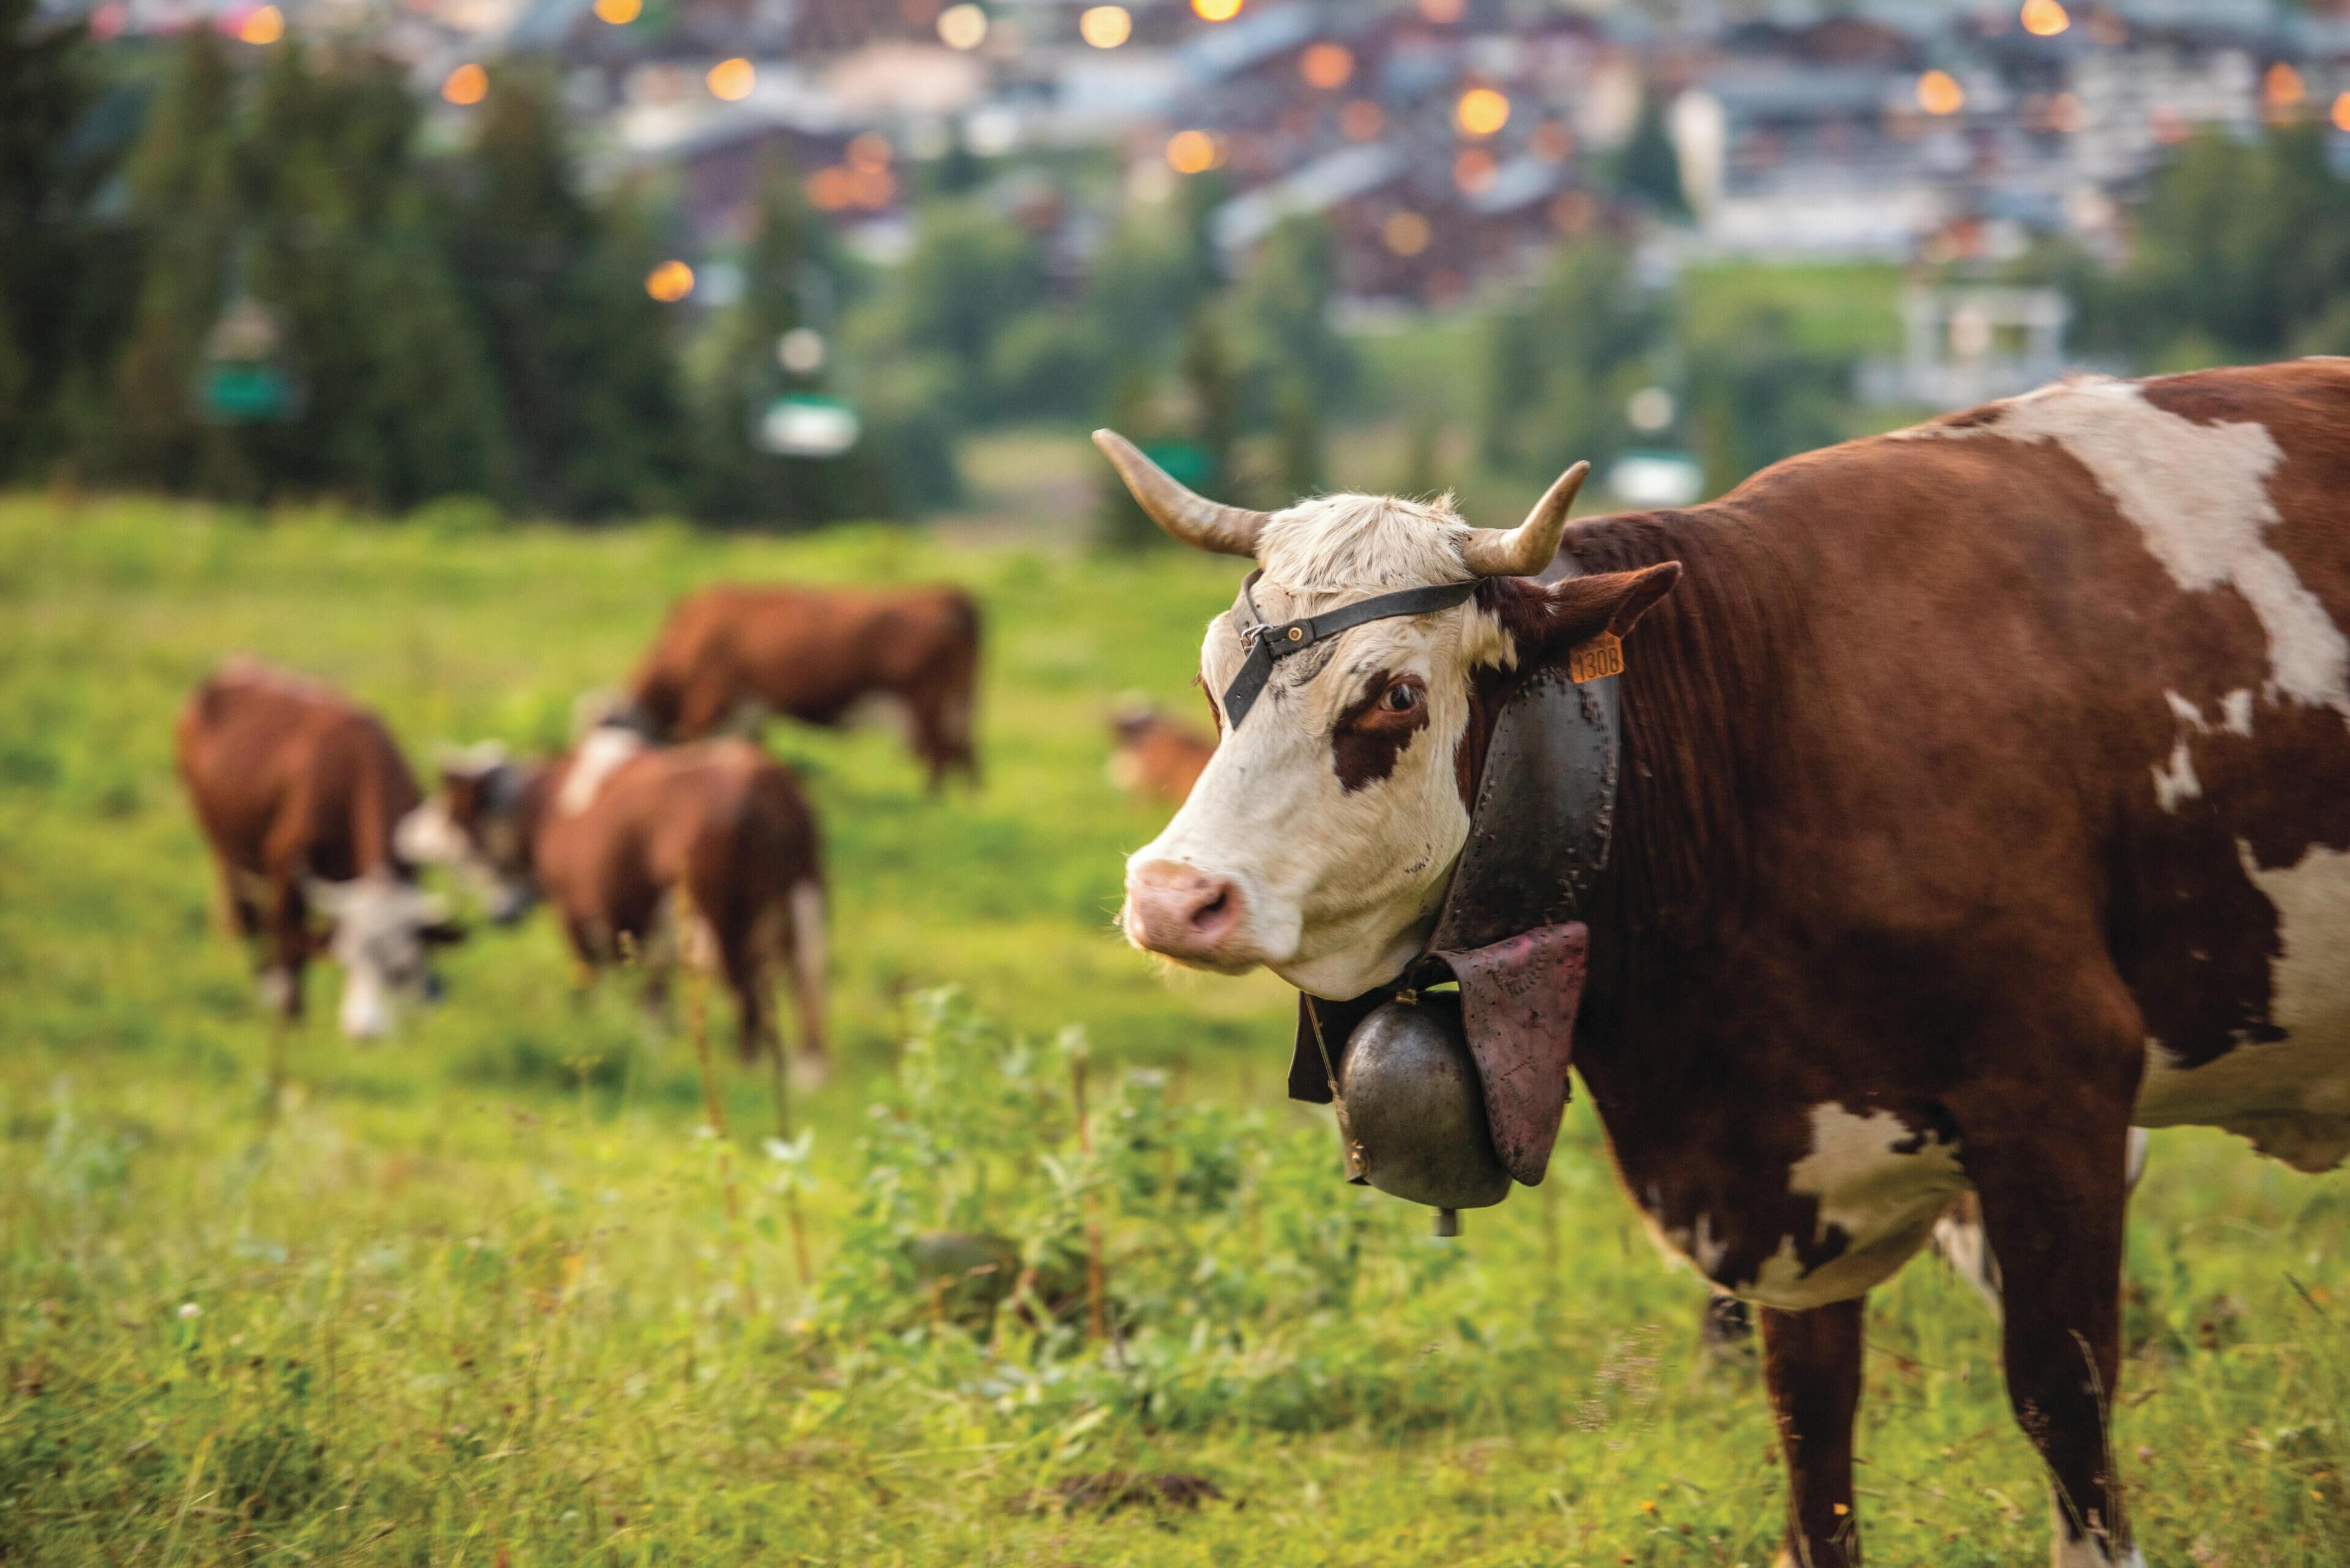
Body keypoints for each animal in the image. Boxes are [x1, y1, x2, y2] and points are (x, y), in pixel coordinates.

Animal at [175, 659, 461, 1042]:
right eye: (347, 960)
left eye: (399, 970)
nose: (363, 1034)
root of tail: (232, 667)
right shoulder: (285, 866)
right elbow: (292, 946)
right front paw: (291, 1020)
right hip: (224, 846)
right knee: (248, 915)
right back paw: (267, 990)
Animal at [399, 728, 830, 1107]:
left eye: (445, 801)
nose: (406, 834)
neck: (543, 809)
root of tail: (765, 777)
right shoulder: (649, 931)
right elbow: (653, 1000)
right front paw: (655, 1055)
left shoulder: (578, 916)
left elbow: (592, 985)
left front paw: (593, 1035)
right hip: (802, 906)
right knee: (803, 991)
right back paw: (804, 1077)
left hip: (725, 921)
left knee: (749, 1000)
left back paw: (747, 1077)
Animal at [622, 583, 981, 792]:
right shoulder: (751, 715)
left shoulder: (708, 705)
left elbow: (694, 749)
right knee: (954, 752)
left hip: (923, 708)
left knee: (939, 755)